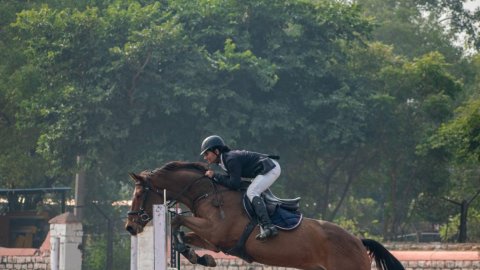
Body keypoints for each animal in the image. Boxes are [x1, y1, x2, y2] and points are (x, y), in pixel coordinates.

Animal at [125, 161, 404, 268]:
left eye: (138, 194)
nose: (130, 227)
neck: (206, 194)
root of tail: (358, 240)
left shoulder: (216, 232)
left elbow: (178, 220)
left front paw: (197, 256)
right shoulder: (214, 240)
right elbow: (183, 234)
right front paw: (200, 257)